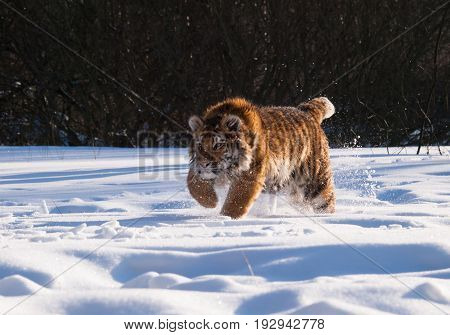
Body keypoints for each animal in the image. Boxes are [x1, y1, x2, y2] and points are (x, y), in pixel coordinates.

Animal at [185, 97, 334, 219]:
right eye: (200, 145)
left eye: (217, 145)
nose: (204, 164)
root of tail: (308, 113)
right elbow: (194, 185)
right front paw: (210, 202)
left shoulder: (250, 174)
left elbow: (236, 199)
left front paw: (225, 218)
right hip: (291, 188)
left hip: (316, 182)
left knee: (326, 202)